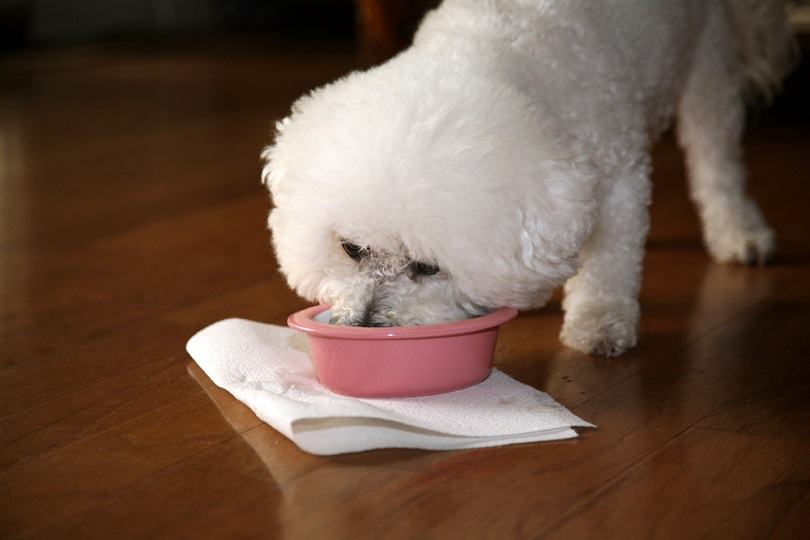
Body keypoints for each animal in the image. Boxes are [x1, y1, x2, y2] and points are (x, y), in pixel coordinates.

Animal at [264, 2, 788, 356]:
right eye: (352, 249)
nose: (366, 324)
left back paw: (739, 231)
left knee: (717, 160)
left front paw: (600, 322)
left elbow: (610, 263)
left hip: (709, 66)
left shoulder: (619, 176)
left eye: (428, 267)